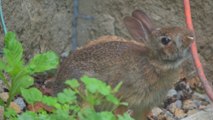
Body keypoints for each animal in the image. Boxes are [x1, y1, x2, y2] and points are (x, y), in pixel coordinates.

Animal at [52, 9, 195, 120]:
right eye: (165, 40)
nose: (191, 36)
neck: (153, 63)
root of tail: (57, 88)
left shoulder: (144, 106)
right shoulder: (122, 98)